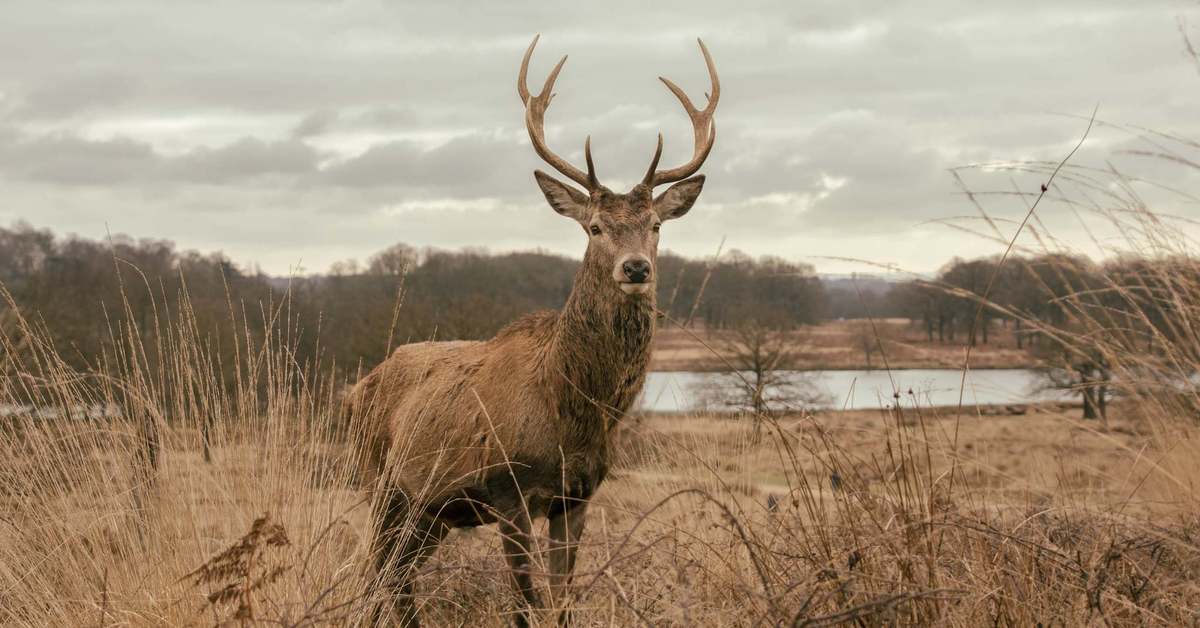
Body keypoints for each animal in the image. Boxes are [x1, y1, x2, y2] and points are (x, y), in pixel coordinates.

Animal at [348, 35, 720, 628]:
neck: (572, 414)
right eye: (595, 227)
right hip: (380, 482)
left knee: (395, 579)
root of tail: (354, 388)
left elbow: (562, 602)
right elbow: (527, 605)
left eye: (657, 226)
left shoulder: (578, 497)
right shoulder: (509, 490)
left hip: (430, 510)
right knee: (377, 574)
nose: (636, 267)